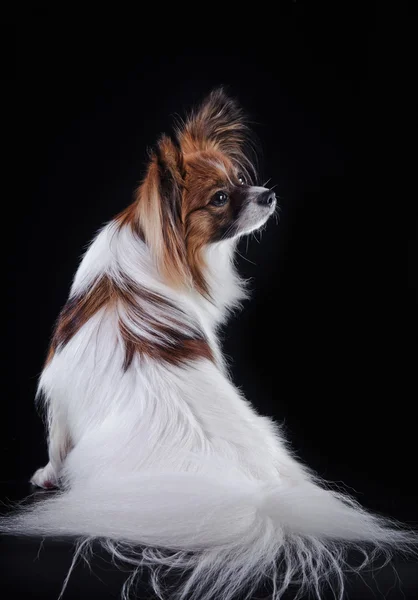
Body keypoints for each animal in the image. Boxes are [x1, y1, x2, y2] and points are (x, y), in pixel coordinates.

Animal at [2, 89, 414, 600]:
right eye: (220, 198)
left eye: (240, 180)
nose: (267, 194)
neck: (149, 243)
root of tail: (244, 493)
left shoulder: (58, 388)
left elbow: (55, 441)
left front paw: (45, 475)